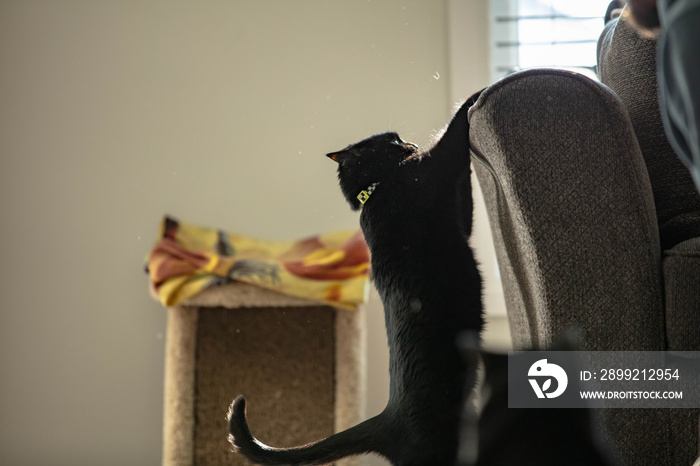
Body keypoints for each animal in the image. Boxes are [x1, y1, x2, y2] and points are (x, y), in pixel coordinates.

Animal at [227, 92, 484, 466]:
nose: (409, 143)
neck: (376, 190)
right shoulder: (432, 169)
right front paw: (474, 97)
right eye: (392, 141)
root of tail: (387, 419)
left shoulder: (458, 213)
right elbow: (451, 137)